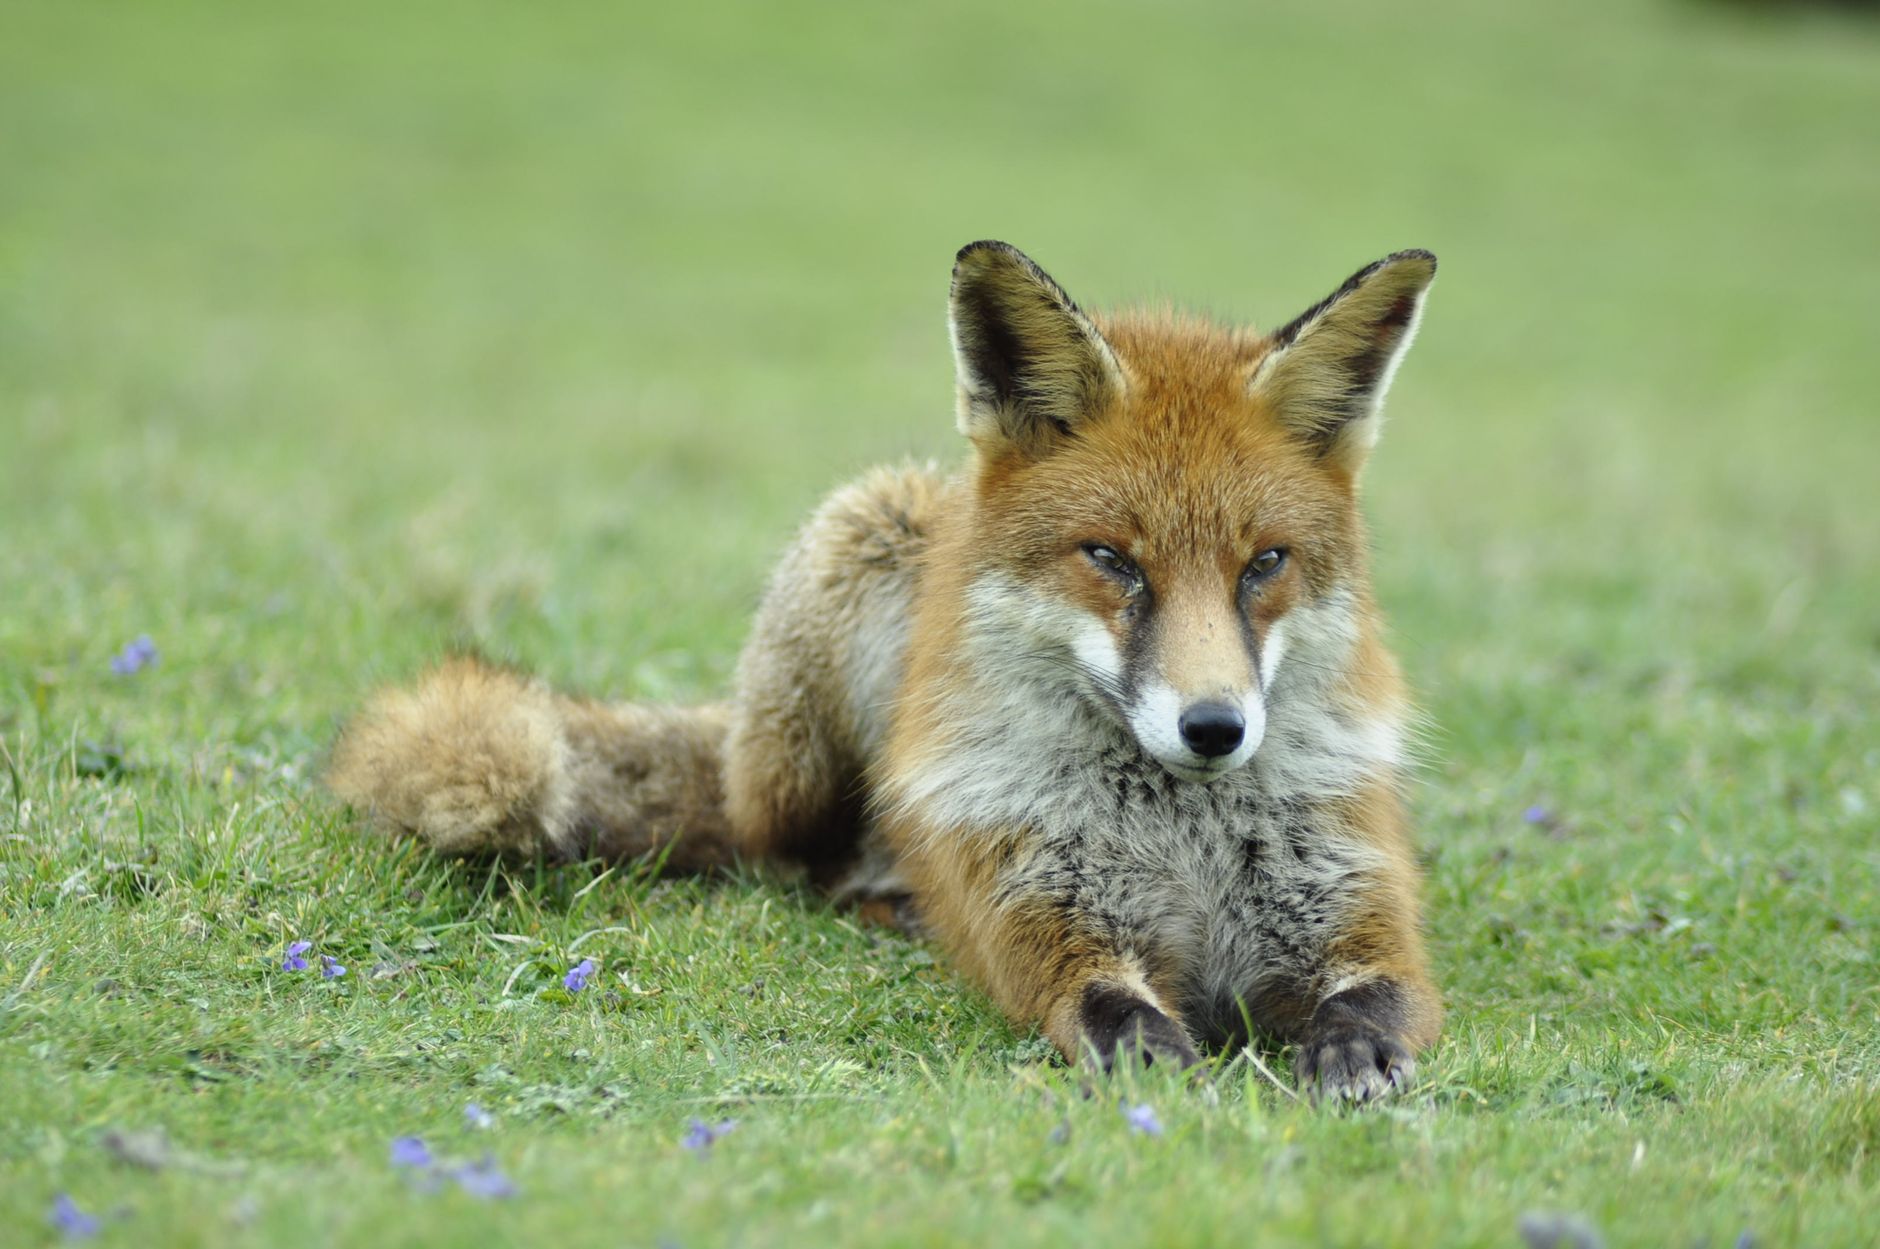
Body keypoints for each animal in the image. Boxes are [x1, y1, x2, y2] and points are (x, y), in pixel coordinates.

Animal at [328, 240, 1442, 1101]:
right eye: (1111, 559)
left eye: (1263, 563)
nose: (1213, 727)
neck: (1186, 839)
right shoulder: (1038, 913)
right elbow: (1109, 1011)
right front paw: (1163, 1069)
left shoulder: (1358, 905)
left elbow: (1378, 1000)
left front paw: (1354, 1056)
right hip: (860, 557)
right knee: (801, 861)